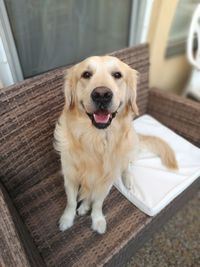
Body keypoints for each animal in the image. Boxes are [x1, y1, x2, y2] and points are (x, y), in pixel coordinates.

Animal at [53, 56, 178, 234]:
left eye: (117, 75)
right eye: (86, 74)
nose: (102, 94)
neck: (95, 140)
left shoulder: (107, 180)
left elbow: (98, 203)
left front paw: (97, 219)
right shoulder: (70, 175)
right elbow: (71, 201)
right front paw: (67, 219)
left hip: (129, 147)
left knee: (127, 166)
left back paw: (128, 180)